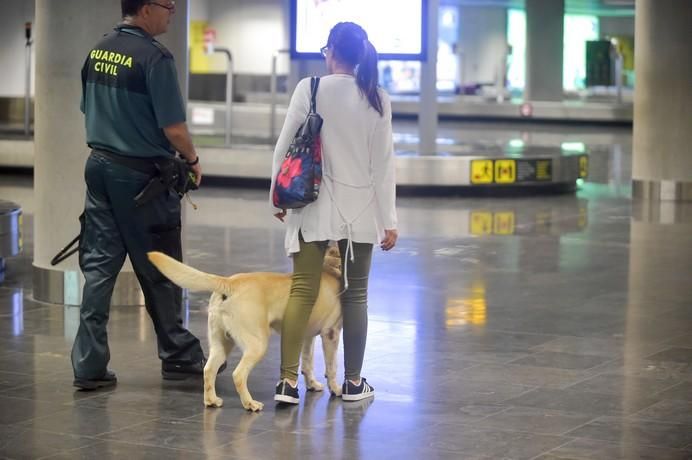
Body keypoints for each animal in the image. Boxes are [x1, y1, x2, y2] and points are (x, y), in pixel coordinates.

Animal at [147, 250, 342, 412]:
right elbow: (332, 366)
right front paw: (337, 389)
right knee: (238, 375)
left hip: (221, 343)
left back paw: (212, 401)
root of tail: (229, 282)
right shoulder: (331, 333)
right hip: (258, 344)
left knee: (209, 370)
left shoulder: (306, 335)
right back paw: (250, 404)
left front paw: (312, 384)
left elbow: (307, 362)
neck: (332, 267)